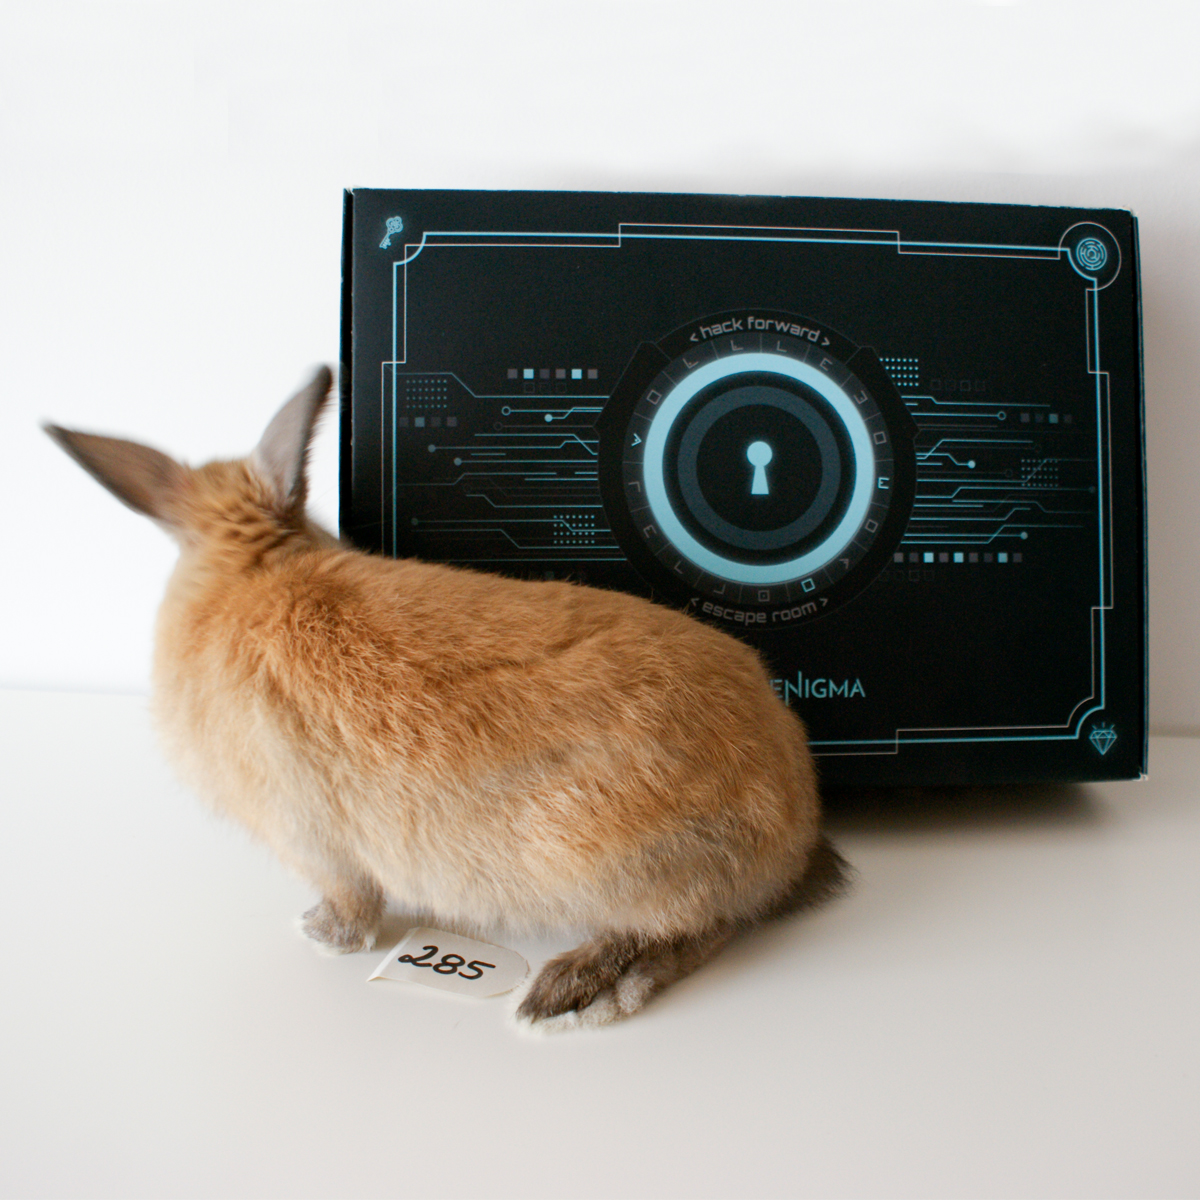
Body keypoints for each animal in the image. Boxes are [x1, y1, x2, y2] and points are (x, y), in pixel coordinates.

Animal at [44, 367, 849, 1030]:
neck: (251, 567)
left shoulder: (317, 845)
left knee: (699, 930)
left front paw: (319, 934)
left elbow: (352, 905)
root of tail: (793, 820)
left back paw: (578, 990)